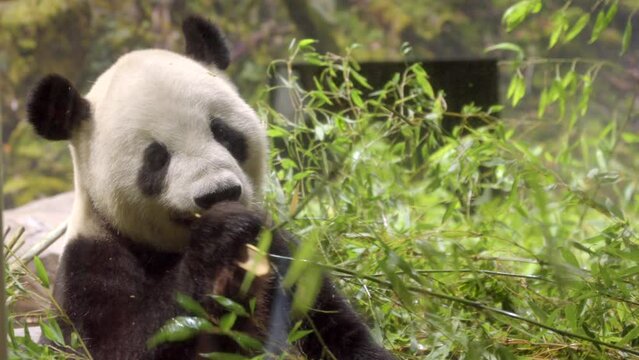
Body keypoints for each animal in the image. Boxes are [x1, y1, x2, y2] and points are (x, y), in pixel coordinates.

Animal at [26, 14, 396, 360]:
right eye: (156, 158)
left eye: (223, 132)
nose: (218, 193)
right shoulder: (88, 266)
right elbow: (115, 343)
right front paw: (220, 235)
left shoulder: (278, 249)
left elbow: (332, 325)